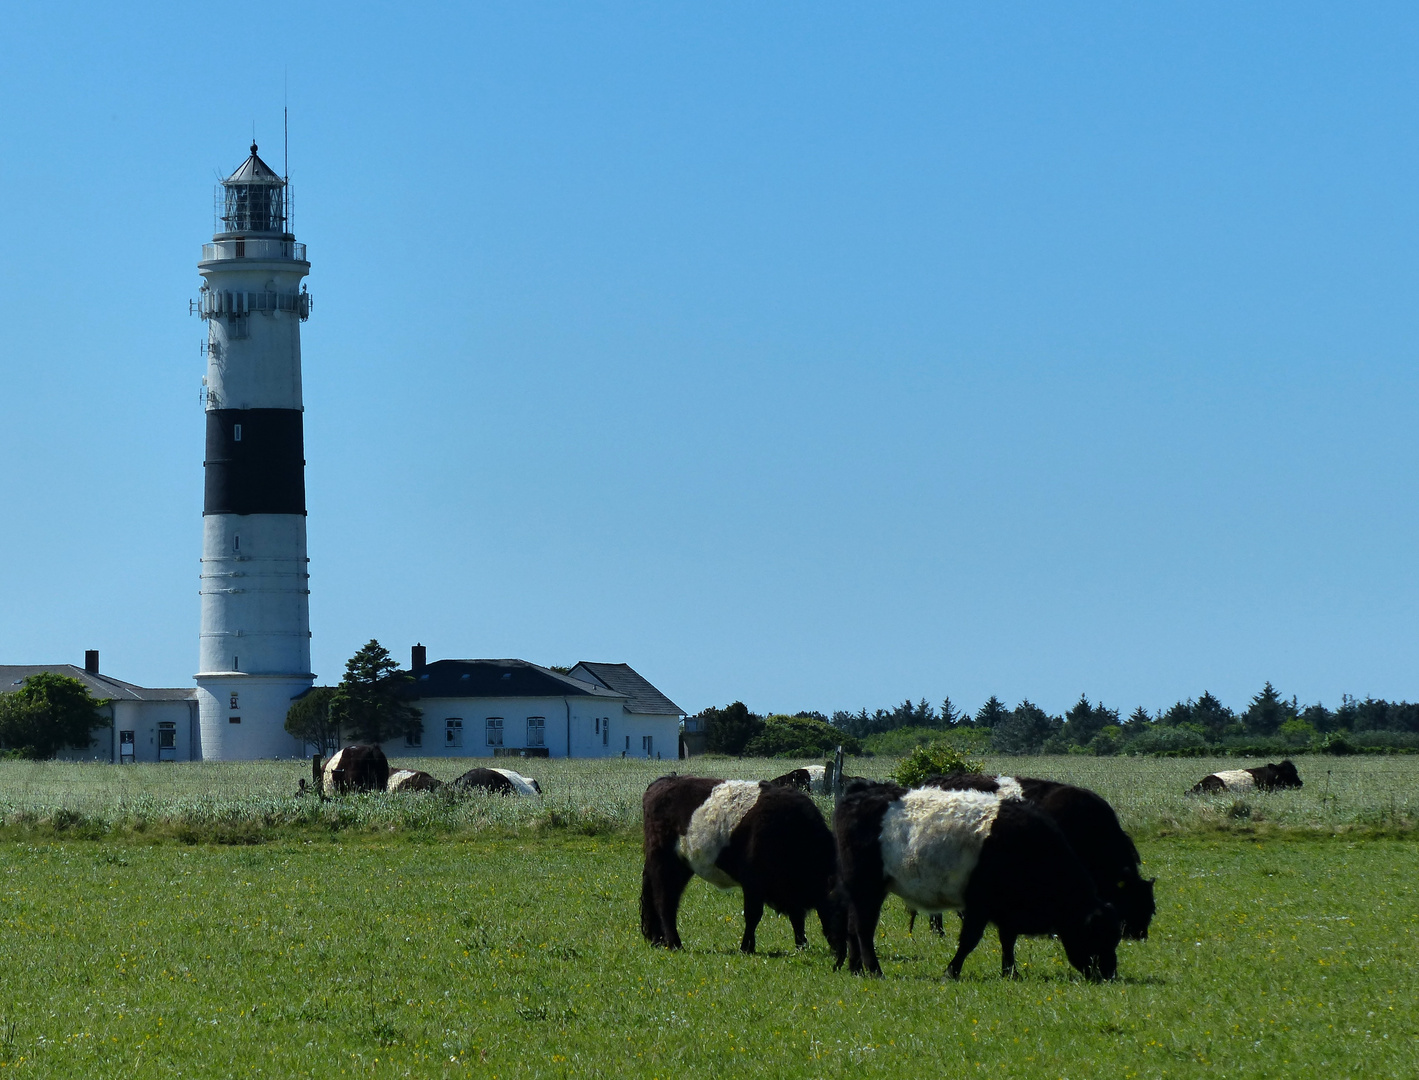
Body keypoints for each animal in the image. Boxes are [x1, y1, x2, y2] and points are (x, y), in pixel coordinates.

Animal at [641, 772, 845, 953]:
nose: (843, 948)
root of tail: (663, 782)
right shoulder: (753, 882)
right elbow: (753, 915)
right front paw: (747, 947)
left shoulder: (790, 888)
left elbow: (797, 917)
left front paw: (801, 946)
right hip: (665, 863)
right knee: (665, 902)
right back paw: (675, 944)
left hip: (681, 866)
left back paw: (659, 941)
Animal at [828, 777, 1118, 982]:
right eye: (1097, 935)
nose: (1109, 974)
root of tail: (861, 791)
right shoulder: (979, 904)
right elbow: (970, 940)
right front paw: (951, 972)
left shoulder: (1005, 908)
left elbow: (1007, 939)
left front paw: (1010, 972)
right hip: (866, 888)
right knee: (864, 929)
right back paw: (874, 970)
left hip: (862, 891)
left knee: (852, 927)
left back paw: (855, 968)